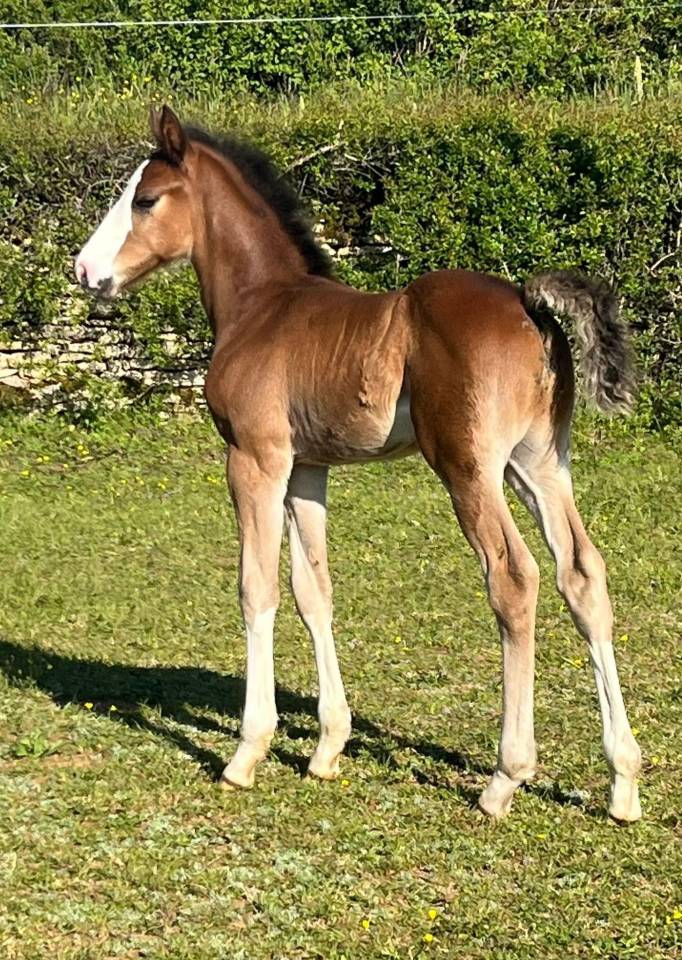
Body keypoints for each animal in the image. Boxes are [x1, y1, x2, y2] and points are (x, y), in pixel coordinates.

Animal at [75, 105, 641, 822]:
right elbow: (313, 591)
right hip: (538, 464)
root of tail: (528, 303)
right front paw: (327, 748)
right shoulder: (305, 470)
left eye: (144, 199)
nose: (85, 271)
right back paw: (624, 781)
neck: (261, 305)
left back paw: (503, 779)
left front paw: (246, 753)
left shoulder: (254, 459)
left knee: (514, 579)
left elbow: (256, 588)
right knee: (582, 574)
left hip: (469, 467)